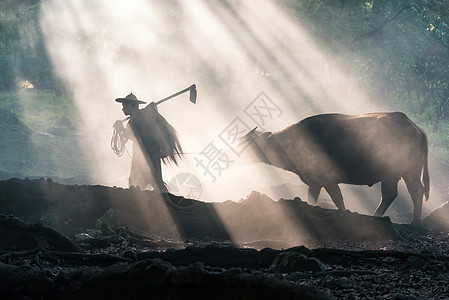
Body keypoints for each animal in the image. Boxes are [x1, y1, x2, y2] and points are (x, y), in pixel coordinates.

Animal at [243, 112, 428, 223]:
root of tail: (415, 127)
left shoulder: (328, 179)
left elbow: (337, 198)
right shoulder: (315, 182)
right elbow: (312, 197)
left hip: (392, 174)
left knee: (395, 193)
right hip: (408, 172)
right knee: (413, 191)